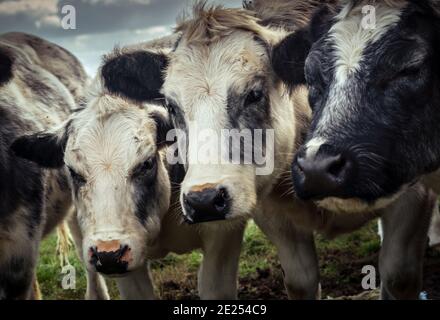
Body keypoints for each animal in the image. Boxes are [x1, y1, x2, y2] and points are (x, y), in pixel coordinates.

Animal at [67, 1, 434, 298]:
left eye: (254, 94)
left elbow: (398, 276)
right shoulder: (274, 217)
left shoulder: (414, 194)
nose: (204, 199)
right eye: (171, 106)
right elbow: (301, 281)